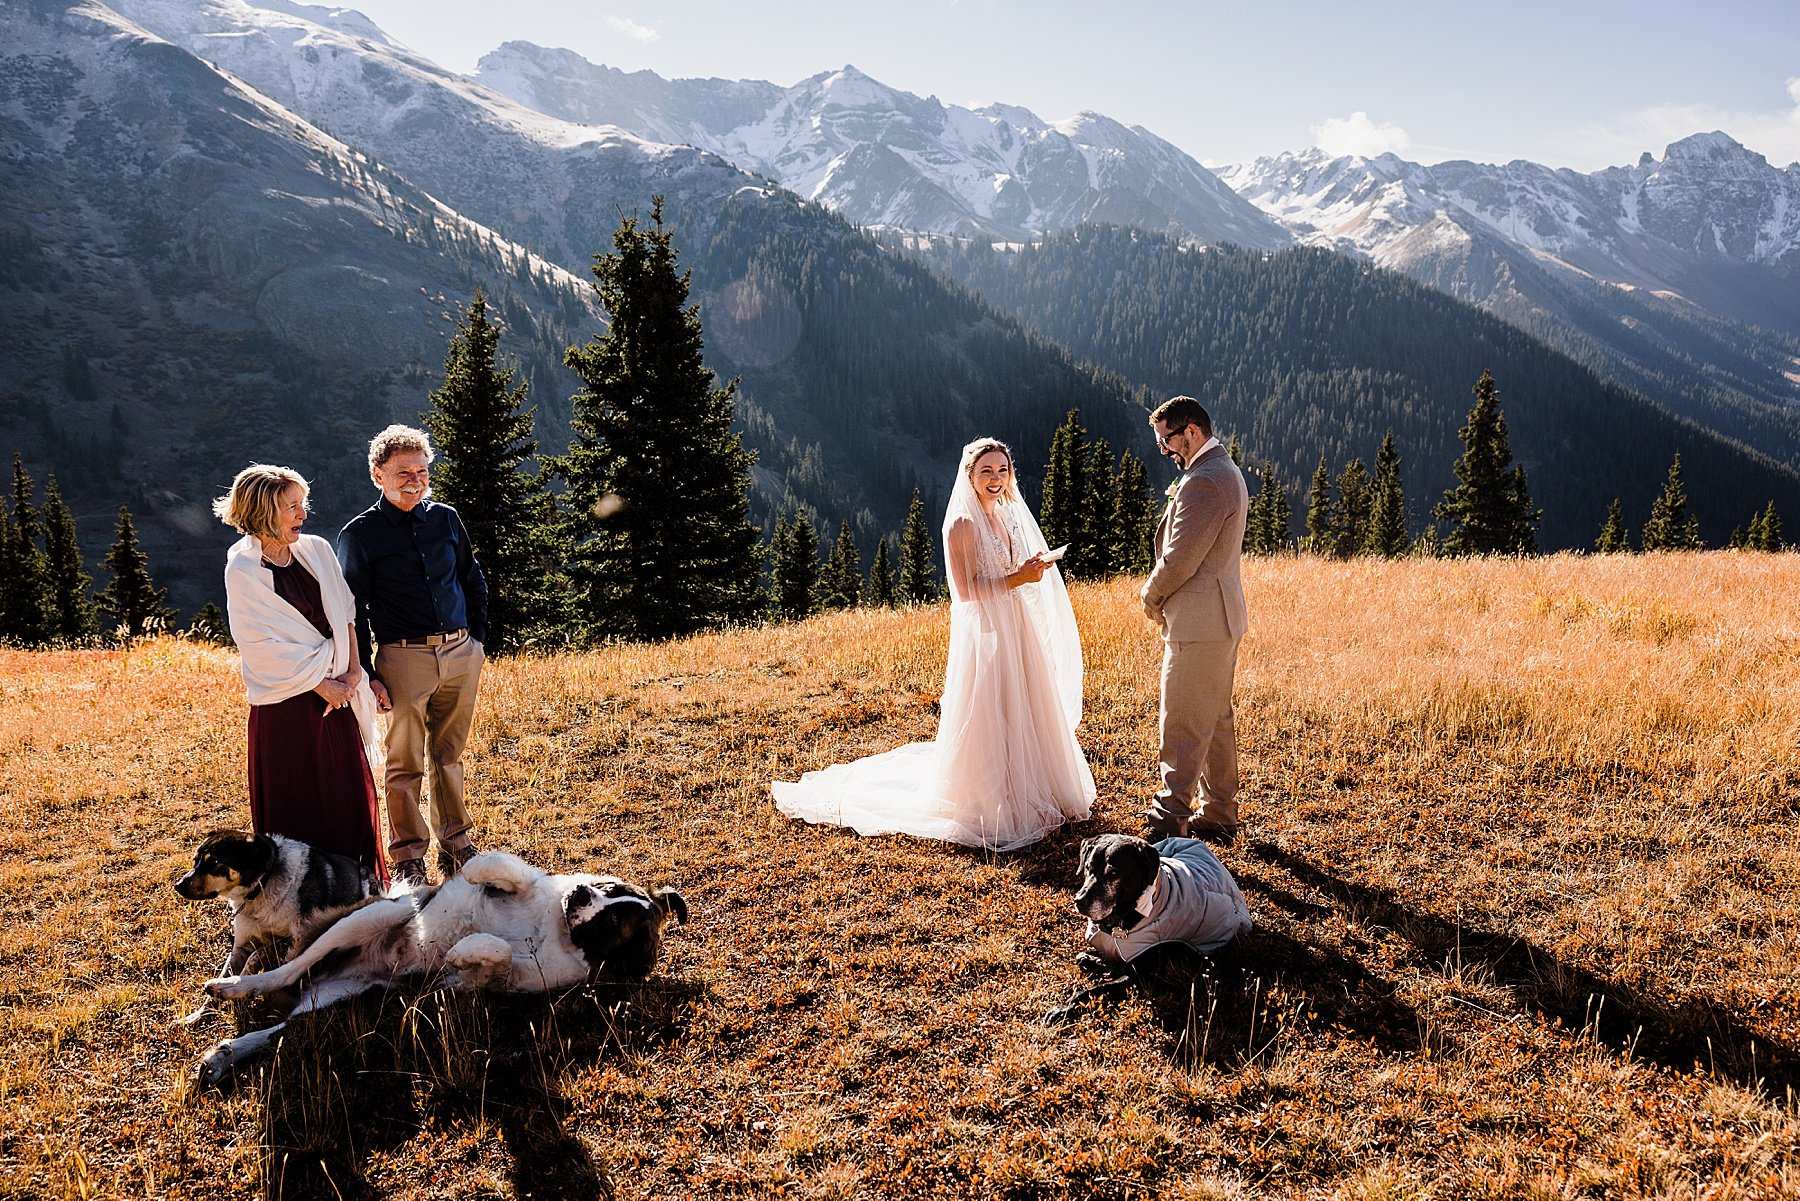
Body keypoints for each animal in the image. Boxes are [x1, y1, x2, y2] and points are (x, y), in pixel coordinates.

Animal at [172, 835, 379, 1022]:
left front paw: (240, 989)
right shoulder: (241, 945)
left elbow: (256, 956)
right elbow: (225, 974)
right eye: (195, 861)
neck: (260, 888)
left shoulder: (296, 938)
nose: (178, 885)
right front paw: (198, 1015)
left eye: (214, 861)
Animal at [193, 849, 687, 1094]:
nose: (582, 892)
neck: (561, 930)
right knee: (285, 971)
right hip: (372, 918)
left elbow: (496, 955)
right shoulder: (527, 884)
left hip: (342, 1003)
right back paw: (232, 986)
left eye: (617, 920)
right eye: (610, 887)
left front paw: (465, 950)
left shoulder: (498, 982)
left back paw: (222, 1053)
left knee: (283, 1025)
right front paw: (470, 873)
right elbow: (506, 867)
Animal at [1051, 835, 1252, 1022]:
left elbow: (1097, 989)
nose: (1079, 901)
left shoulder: (1139, 976)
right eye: (1087, 867)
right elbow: (1084, 958)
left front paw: (1064, 1008)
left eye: (1114, 873)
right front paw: (1098, 962)